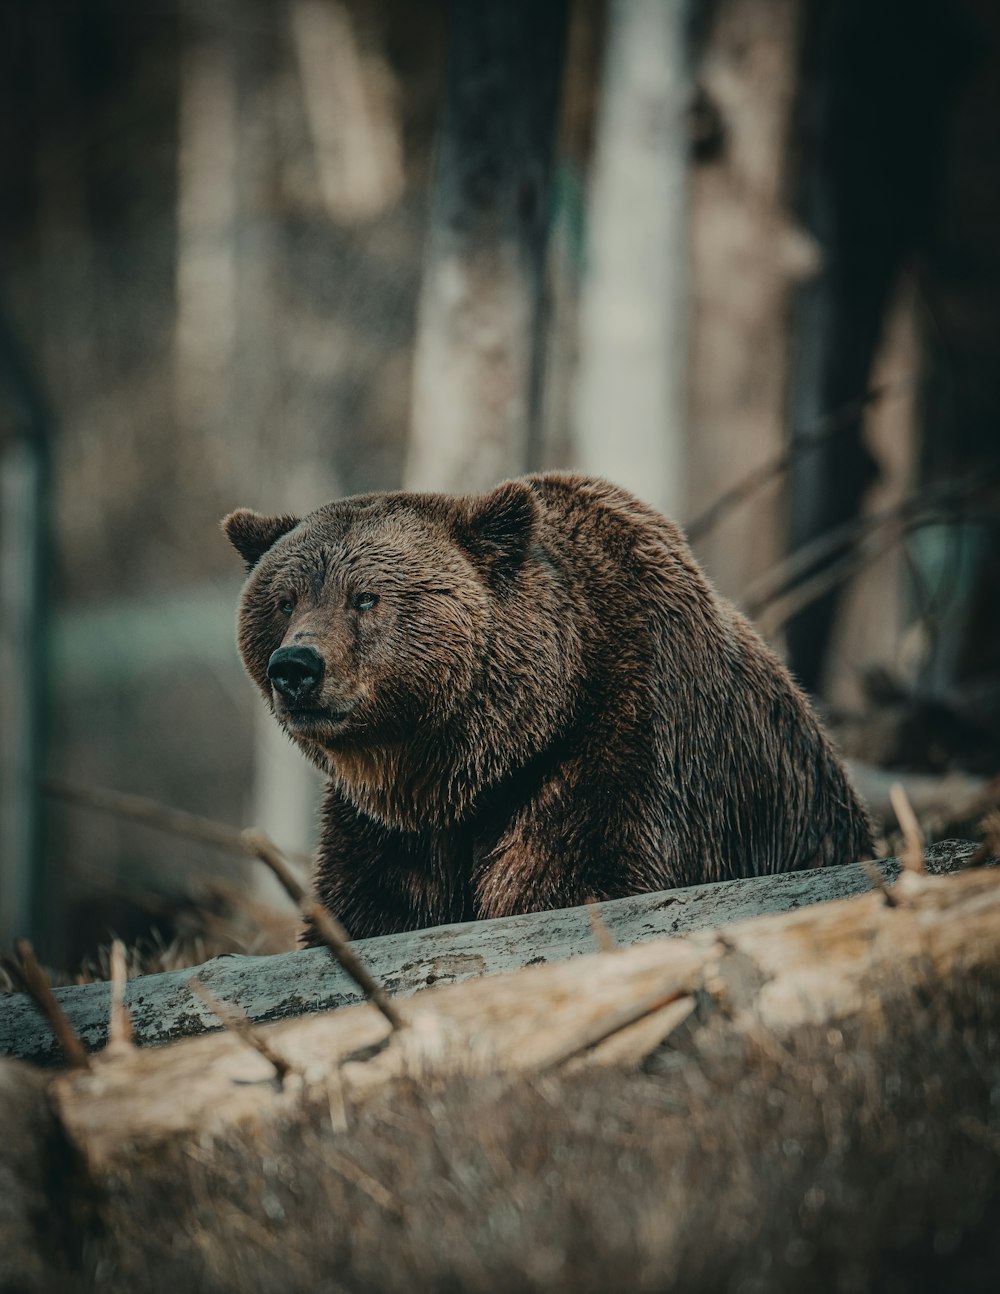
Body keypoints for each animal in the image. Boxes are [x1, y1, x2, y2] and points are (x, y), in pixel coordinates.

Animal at [222, 471, 869, 936]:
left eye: (366, 598)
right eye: (284, 600)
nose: (295, 668)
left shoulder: (621, 746)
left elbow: (577, 878)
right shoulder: (389, 829)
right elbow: (369, 908)